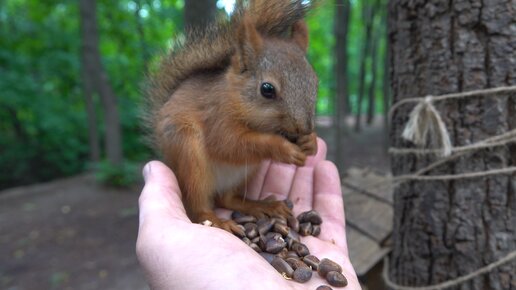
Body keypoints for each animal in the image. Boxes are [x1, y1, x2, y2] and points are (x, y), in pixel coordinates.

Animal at [145, 0, 318, 236]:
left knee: (227, 199)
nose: (304, 128)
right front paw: (283, 149)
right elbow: (228, 144)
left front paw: (311, 142)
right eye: (267, 89)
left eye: (315, 82)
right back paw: (217, 221)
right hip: (189, 157)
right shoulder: (216, 116)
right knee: (198, 206)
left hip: (245, 173)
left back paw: (262, 206)